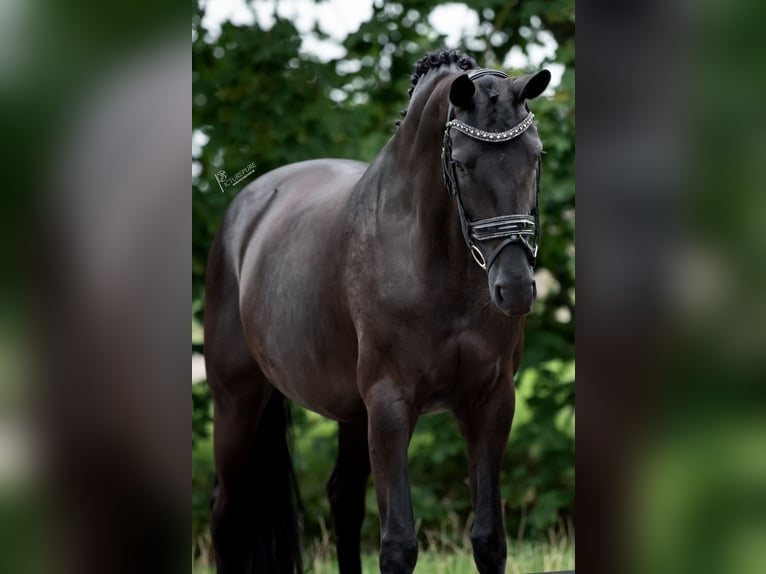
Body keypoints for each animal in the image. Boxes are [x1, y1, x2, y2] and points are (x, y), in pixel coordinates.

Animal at [204, 49, 551, 574]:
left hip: (349, 411)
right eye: (462, 164)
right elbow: (398, 545)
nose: (514, 288)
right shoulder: (389, 403)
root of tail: (243, 211)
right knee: (227, 512)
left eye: (535, 155)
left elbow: (490, 539)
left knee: (343, 500)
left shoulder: (491, 402)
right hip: (236, 402)